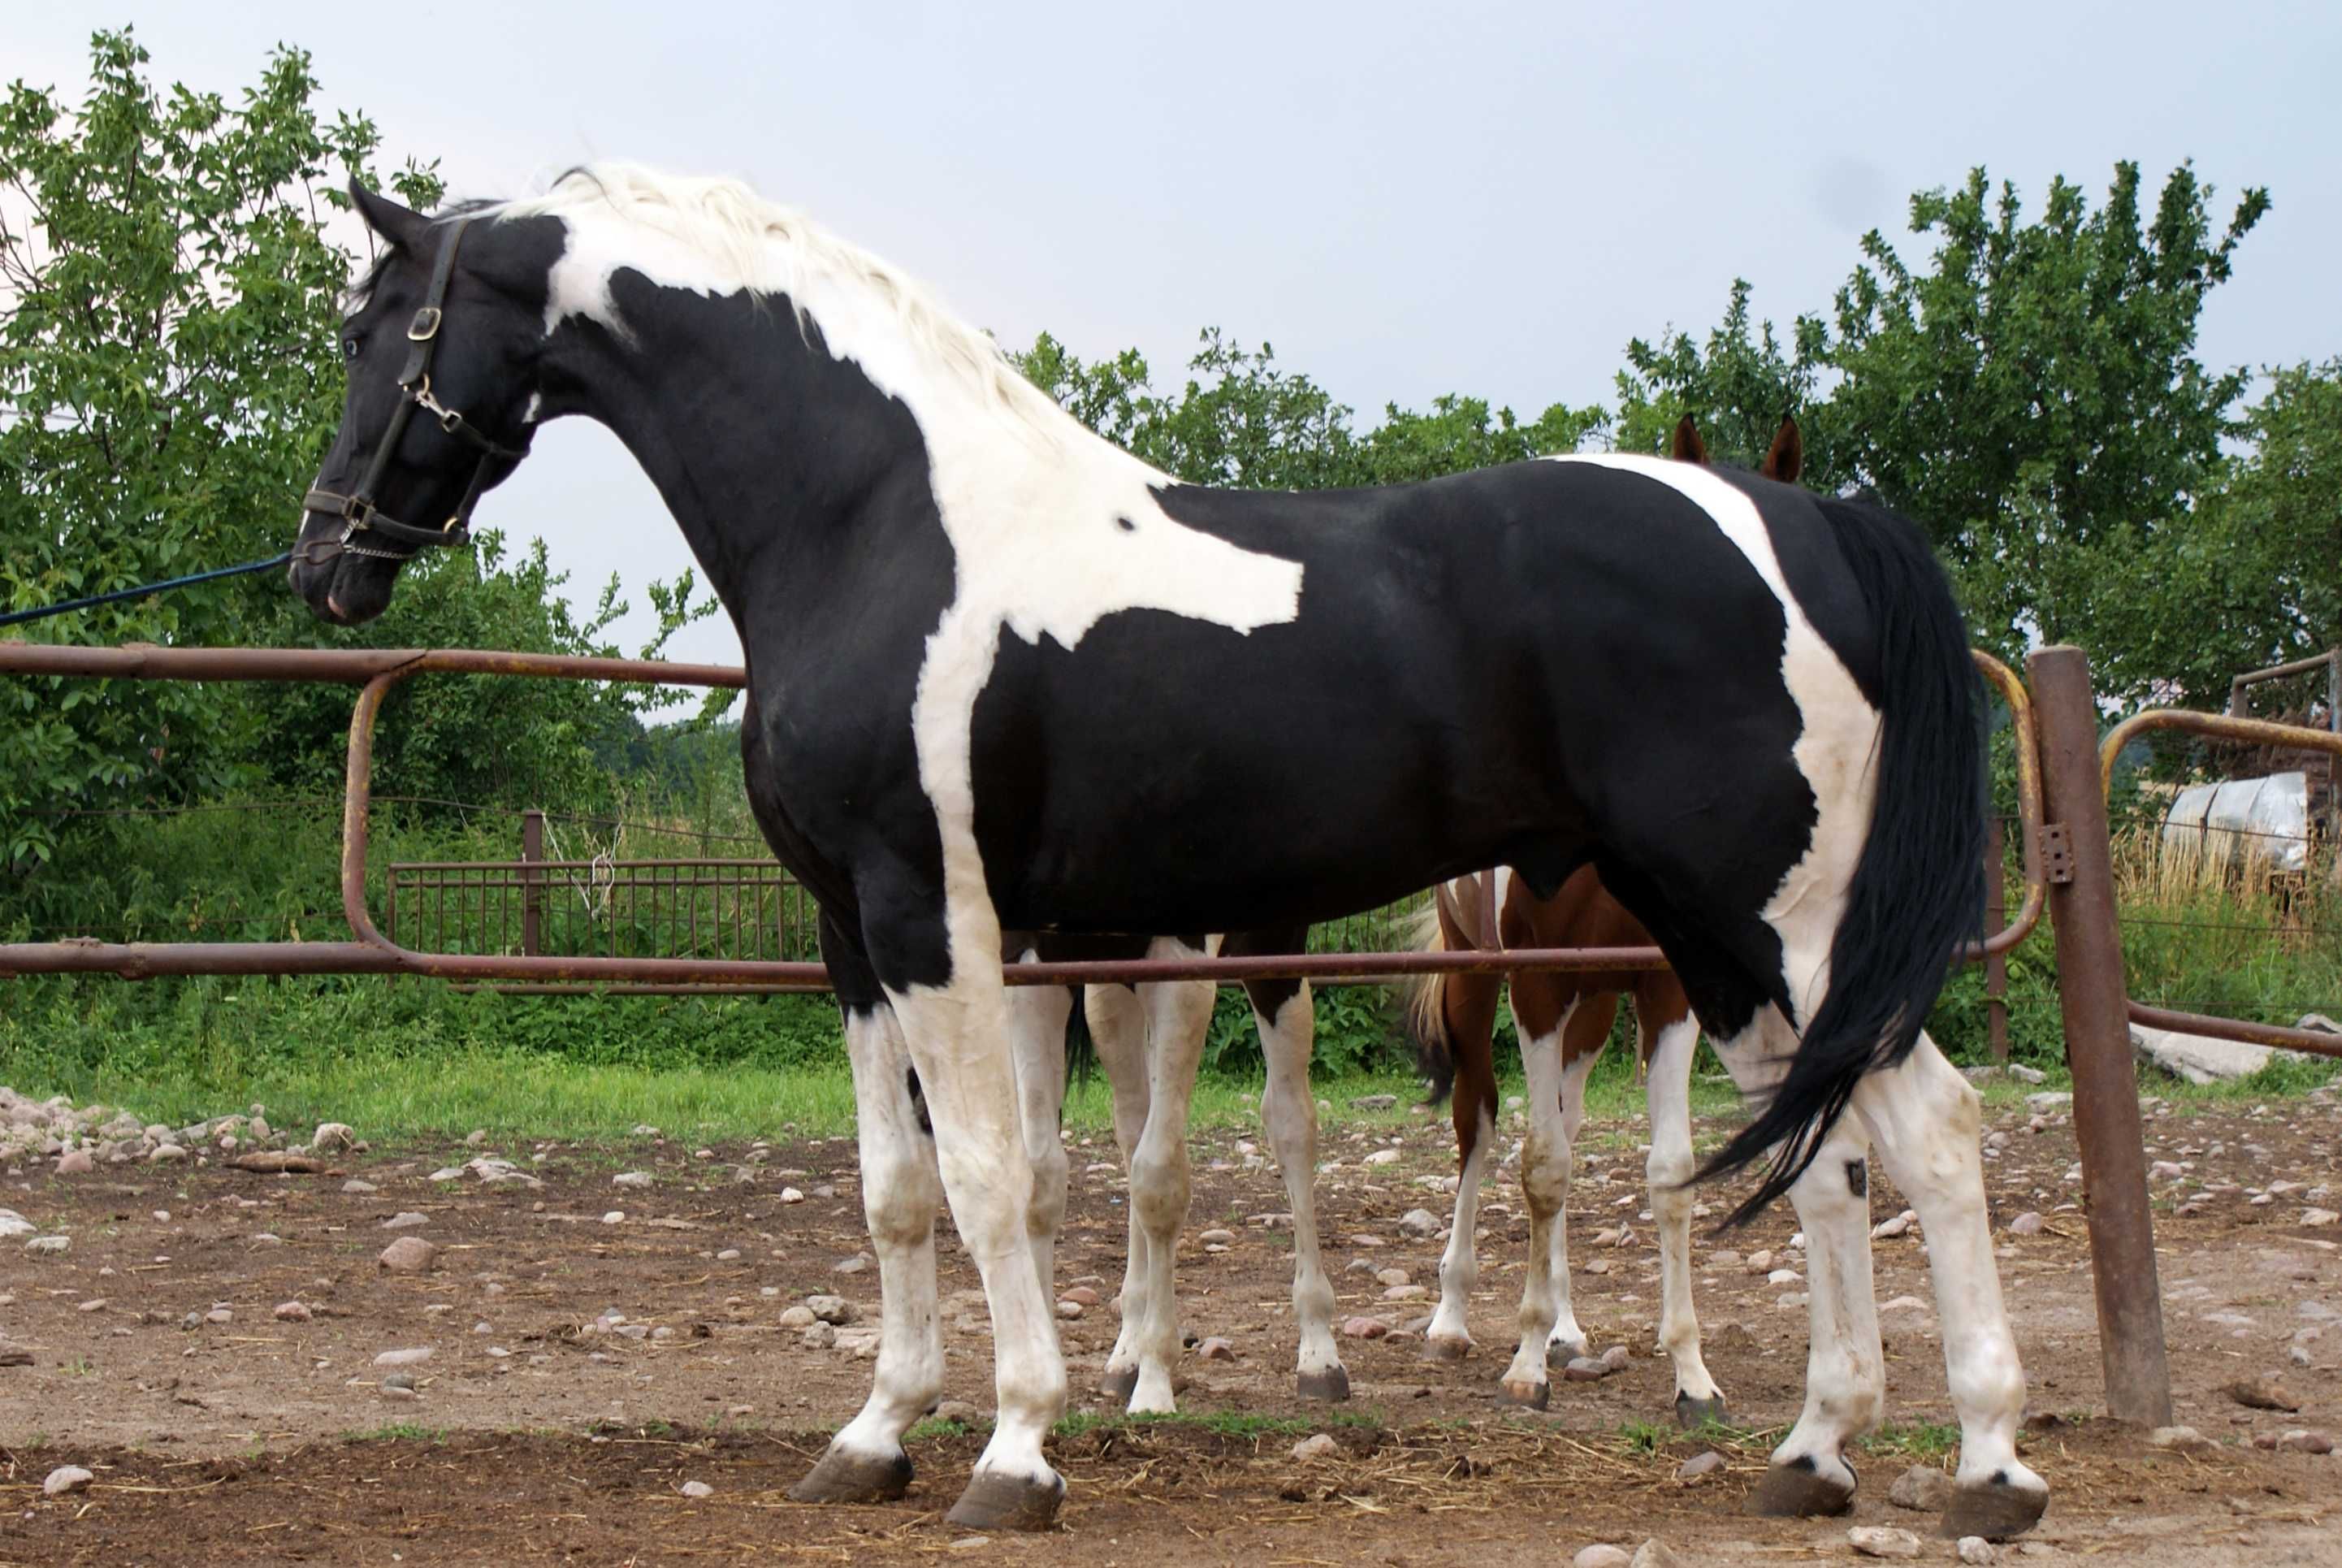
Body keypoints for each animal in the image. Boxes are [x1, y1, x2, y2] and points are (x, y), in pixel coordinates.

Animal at [292, 165, 2041, 1537]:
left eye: (375, 325)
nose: (325, 561)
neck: (883, 521)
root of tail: (1803, 525)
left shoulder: (939, 917)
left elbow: (989, 1179)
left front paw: (1014, 1450)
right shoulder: (854, 936)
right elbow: (893, 1190)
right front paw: (873, 1435)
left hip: (1772, 918)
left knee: (1935, 1131)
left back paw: (1986, 1466)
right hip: (1713, 940)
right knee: (1827, 1155)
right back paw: (1813, 1451)